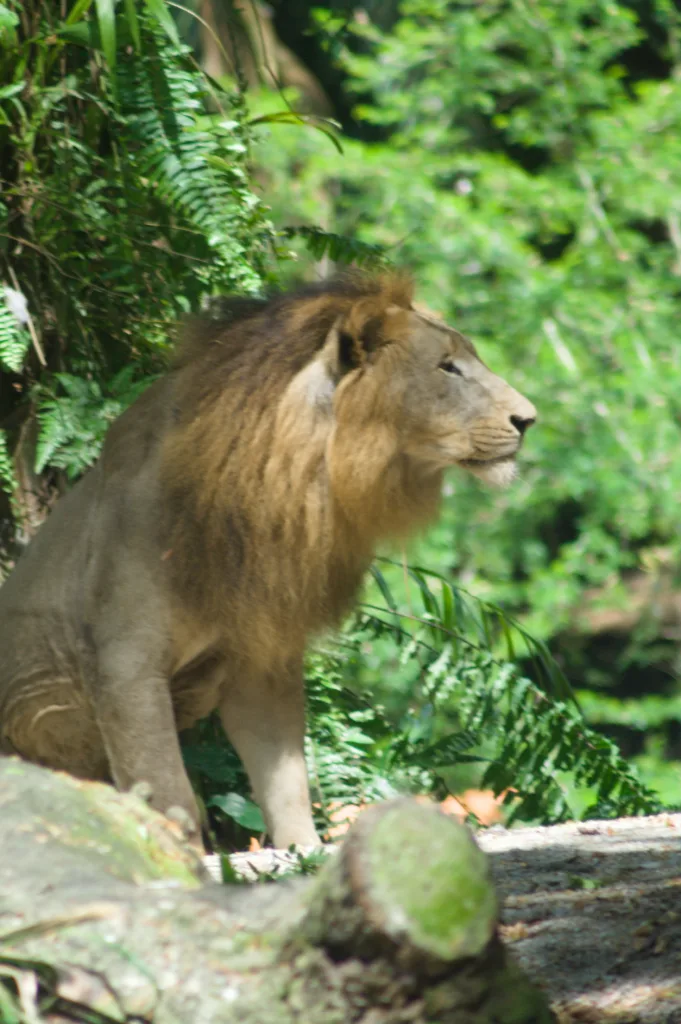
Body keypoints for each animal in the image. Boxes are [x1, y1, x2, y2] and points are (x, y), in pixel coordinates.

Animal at [0, 271, 535, 848]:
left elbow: (286, 780)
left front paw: (304, 853)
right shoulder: (123, 664)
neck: (294, 481)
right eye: (447, 366)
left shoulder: (261, 657)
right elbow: (169, 792)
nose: (529, 419)